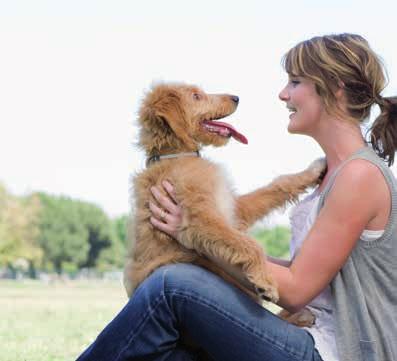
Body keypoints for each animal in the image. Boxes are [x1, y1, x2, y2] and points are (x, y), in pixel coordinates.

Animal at [124, 81, 324, 304]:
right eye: (196, 96)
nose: (236, 97)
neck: (177, 154)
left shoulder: (234, 208)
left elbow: (277, 185)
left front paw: (313, 171)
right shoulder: (199, 219)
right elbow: (251, 244)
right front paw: (265, 281)